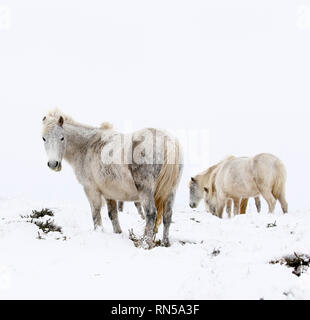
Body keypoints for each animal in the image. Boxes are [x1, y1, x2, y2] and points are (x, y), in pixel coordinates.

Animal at [40, 110, 182, 248]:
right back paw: (165, 243)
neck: (87, 146)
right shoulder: (109, 193)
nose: (53, 164)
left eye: (62, 138)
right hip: (171, 191)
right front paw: (118, 233)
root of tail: (167, 141)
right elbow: (113, 214)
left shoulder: (91, 190)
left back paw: (145, 244)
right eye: (44, 138)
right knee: (167, 215)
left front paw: (98, 231)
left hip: (146, 190)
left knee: (151, 214)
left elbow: (96, 213)